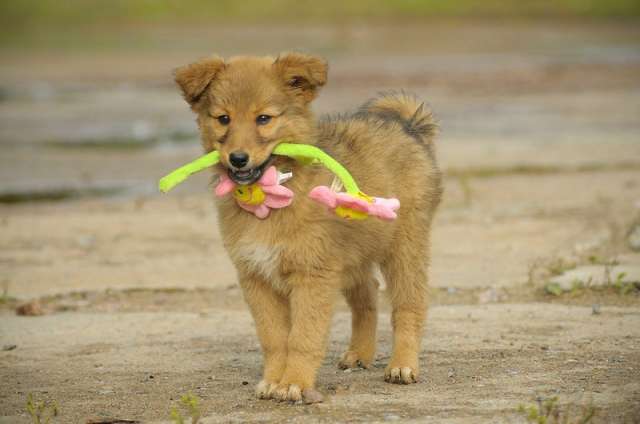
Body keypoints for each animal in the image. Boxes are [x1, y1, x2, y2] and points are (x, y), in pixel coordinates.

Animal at [178, 51, 442, 402]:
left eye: (264, 118)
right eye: (223, 119)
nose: (238, 158)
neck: (270, 197)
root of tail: (408, 127)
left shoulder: (312, 275)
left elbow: (303, 337)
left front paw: (295, 383)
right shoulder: (257, 278)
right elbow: (274, 339)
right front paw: (273, 381)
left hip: (404, 247)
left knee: (408, 307)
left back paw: (403, 365)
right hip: (351, 253)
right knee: (367, 295)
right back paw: (360, 353)